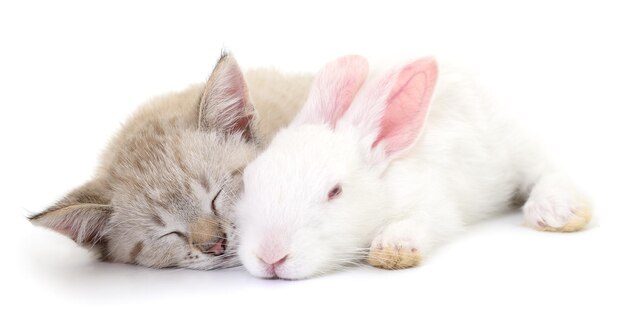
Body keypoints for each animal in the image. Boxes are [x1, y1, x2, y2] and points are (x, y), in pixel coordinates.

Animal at [234, 55, 588, 280]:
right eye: (249, 182)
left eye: (335, 192)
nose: (270, 256)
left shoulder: (434, 205)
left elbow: (421, 222)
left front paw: (393, 250)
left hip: (518, 149)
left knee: (547, 171)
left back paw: (556, 211)